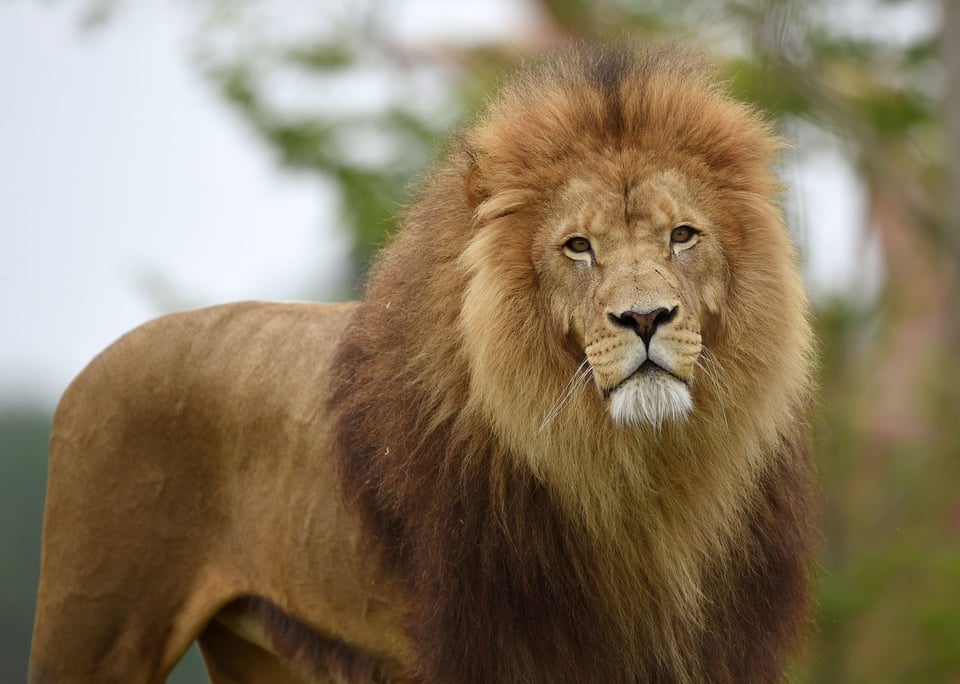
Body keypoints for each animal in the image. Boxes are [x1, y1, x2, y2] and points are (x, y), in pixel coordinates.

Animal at [30, 46, 816, 684]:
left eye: (683, 235)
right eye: (578, 246)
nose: (646, 319)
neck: (643, 481)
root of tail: (91, 370)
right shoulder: (492, 646)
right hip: (93, 626)